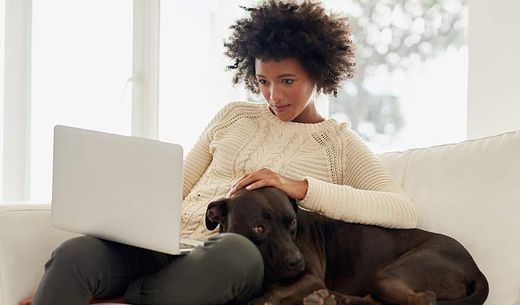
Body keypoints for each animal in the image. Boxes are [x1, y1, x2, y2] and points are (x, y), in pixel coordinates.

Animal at [204, 185, 488, 304]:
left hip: (389, 273)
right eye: (258, 228)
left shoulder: (310, 279)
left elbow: (273, 294)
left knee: (422, 299)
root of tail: (475, 268)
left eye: (291, 223)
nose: (297, 261)